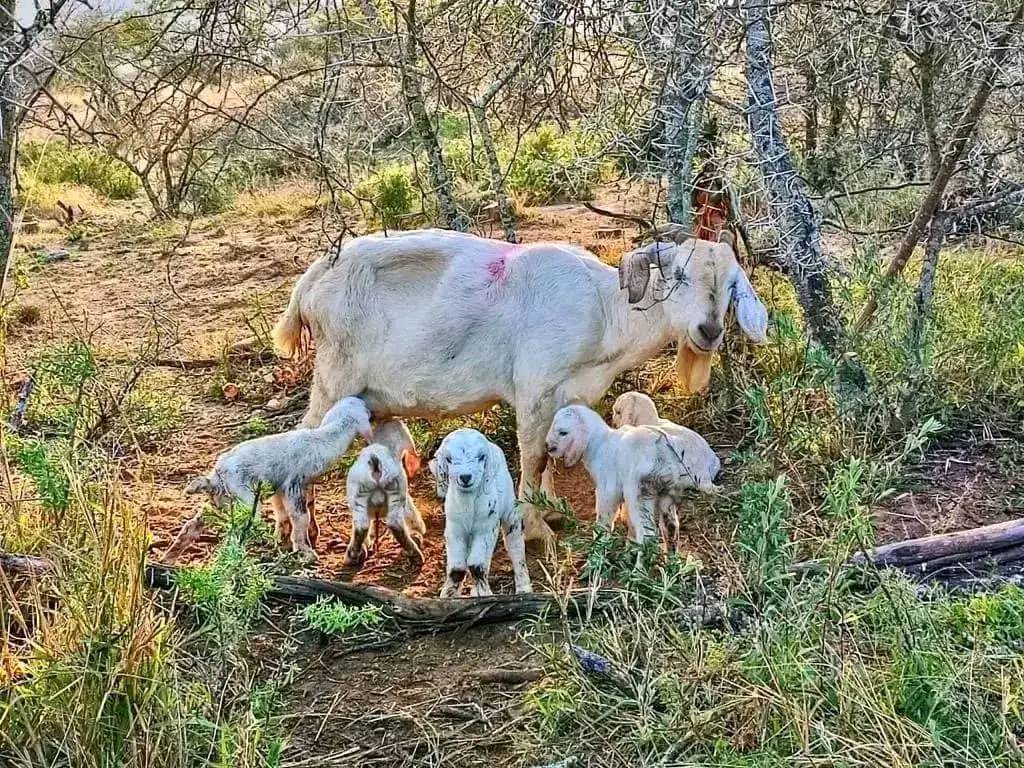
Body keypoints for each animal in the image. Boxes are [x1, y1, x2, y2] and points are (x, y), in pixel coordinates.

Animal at [167, 397, 373, 563]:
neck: (322, 440)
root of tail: (215, 479)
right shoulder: (293, 484)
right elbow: (301, 518)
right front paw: (306, 552)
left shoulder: (279, 488)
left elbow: (282, 513)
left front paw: (282, 539)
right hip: (245, 501)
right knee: (234, 534)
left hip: (219, 503)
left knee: (192, 526)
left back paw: (169, 558)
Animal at [345, 419, 426, 566]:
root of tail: (376, 464)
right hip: (394, 489)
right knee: (394, 523)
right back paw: (416, 555)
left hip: (361, 493)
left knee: (363, 525)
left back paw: (351, 557)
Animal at [428, 428, 532, 597]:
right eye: (449, 459)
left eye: (481, 457)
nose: (465, 477)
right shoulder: (453, 530)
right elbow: (457, 568)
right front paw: (449, 595)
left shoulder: (486, 529)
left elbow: (476, 565)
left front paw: (484, 593)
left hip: (510, 511)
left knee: (515, 547)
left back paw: (524, 588)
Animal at [545, 404, 720, 551]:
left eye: (563, 432)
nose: (548, 447)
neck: (599, 443)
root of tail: (663, 455)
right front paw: (629, 545)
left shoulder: (608, 490)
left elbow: (604, 518)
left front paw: (599, 542)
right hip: (667, 494)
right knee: (671, 527)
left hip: (640, 492)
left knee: (648, 535)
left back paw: (638, 568)